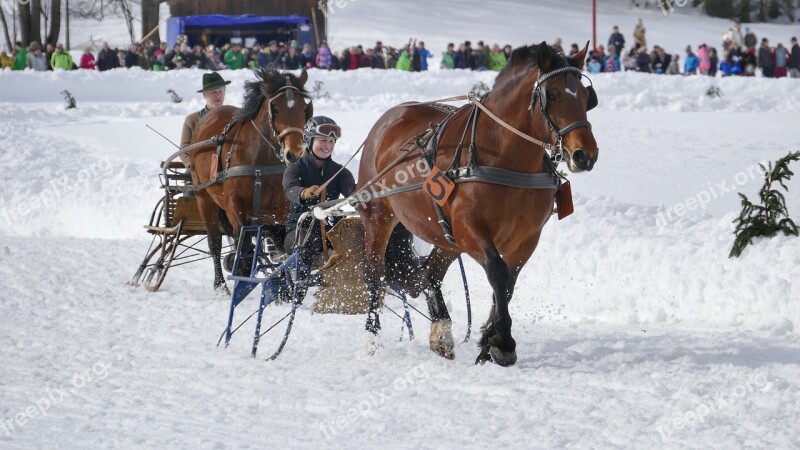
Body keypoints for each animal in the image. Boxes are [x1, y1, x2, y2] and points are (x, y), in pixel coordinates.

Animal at [191, 68, 312, 290]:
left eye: (304, 108)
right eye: (276, 108)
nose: (295, 154)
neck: (260, 160)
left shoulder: (280, 209)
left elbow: (279, 240)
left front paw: (283, 283)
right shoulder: (234, 206)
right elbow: (244, 243)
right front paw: (241, 271)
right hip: (204, 197)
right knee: (215, 241)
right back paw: (220, 284)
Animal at [360, 41, 596, 366]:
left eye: (587, 97)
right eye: (553, 95)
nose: (585, 155)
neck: (504, 157)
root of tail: (388, 120)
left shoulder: (526, 238)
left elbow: (507, 284)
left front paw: (488, 341)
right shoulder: (470, 229)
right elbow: (497, 273)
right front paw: (503, 343)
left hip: (446, 236)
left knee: (430, 274)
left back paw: (441, 333)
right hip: (379, 216)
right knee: (375, 274)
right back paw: (372, 338)